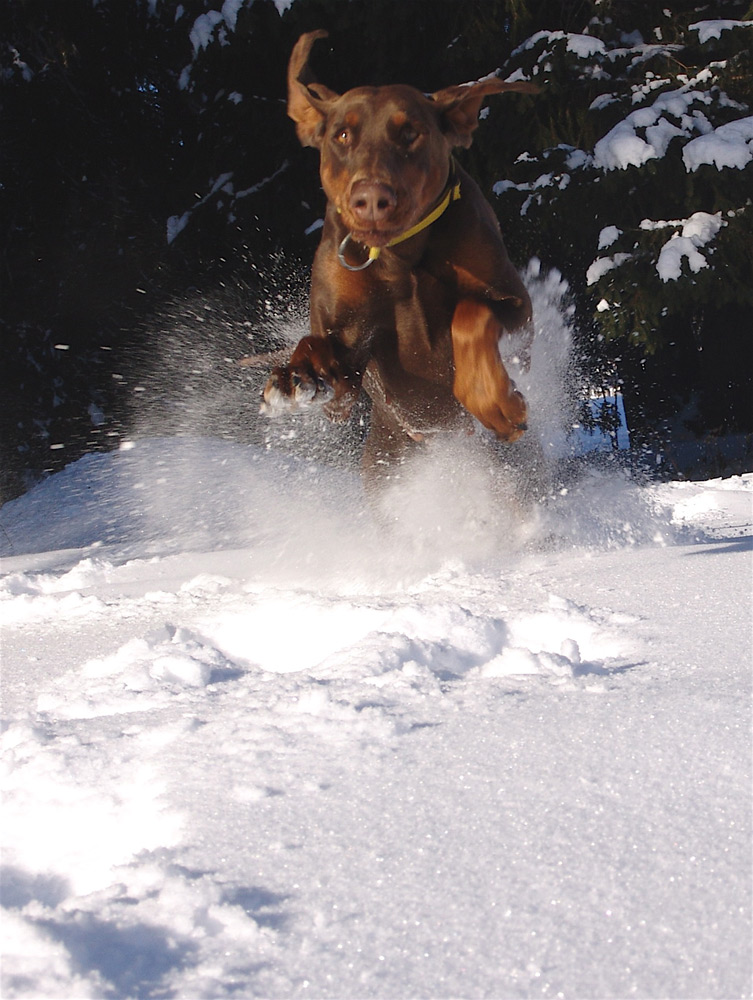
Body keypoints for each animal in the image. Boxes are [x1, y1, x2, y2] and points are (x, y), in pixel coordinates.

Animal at [262, 27, 536, 484]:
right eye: (342, 135)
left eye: (411, 133)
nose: (371, 199)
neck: (399, 255)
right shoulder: (348, 357)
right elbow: (321, 350)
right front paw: (296, 375)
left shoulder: (516, 304)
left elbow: (471, 315)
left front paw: (496, 403)